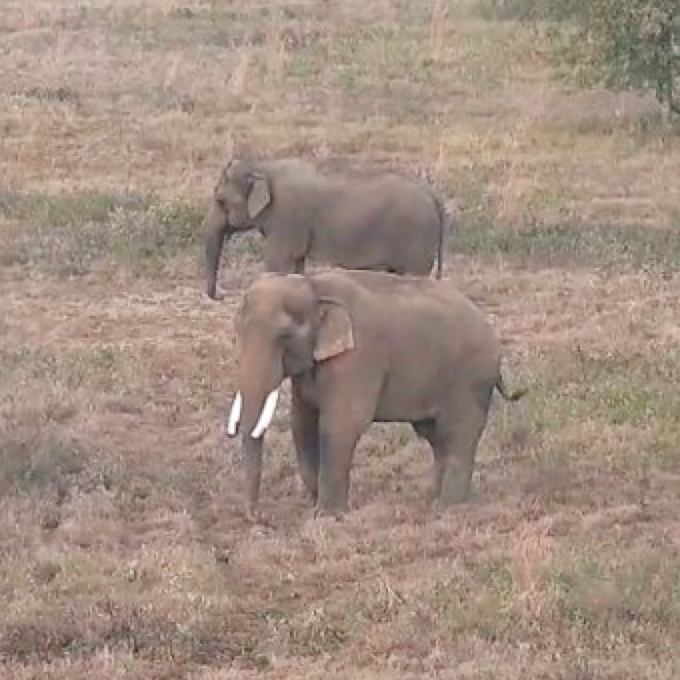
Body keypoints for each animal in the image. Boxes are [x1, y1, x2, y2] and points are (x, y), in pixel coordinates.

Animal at [202, 159, 452, 300]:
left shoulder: (287, 216)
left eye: (220, 200)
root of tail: (434, 196)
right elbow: (296, 264)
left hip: (417, 237)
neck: (263, 167)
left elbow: (277, 261)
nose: (220, 295)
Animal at [223, 268, 524, 516]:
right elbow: (302, 422)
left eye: (284, 336)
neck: (314, 284)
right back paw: (434, 498)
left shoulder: (359, 357)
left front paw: (327, 516)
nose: (257, 517)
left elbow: (341, 424)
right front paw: (315, 503)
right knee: (436, 436)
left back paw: (447, 507)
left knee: (458, 435)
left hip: (470, 381)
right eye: (237, 331)